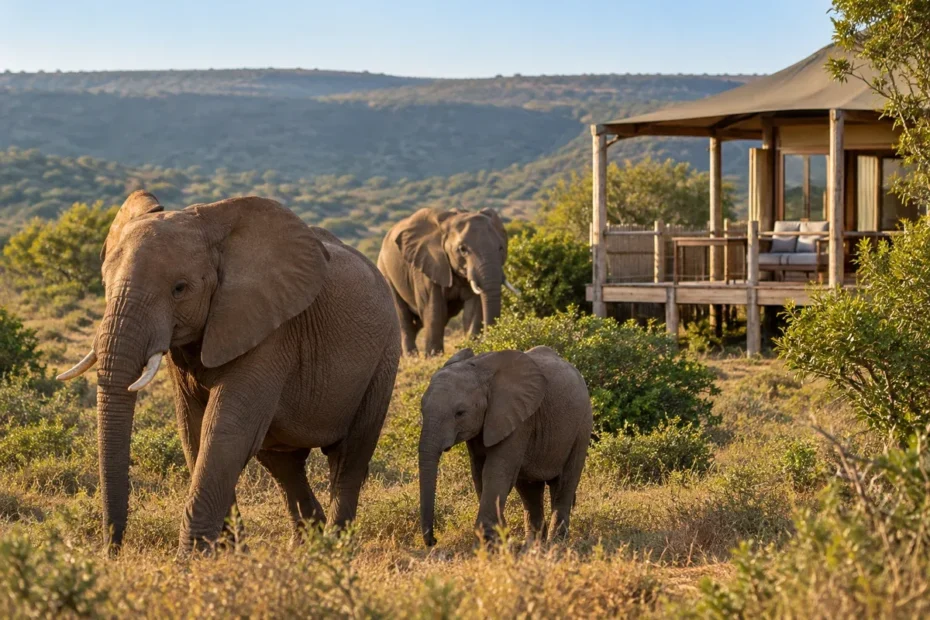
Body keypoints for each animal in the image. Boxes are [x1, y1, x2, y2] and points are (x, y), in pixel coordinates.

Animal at [56, 190, 400, 555]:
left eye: (180, 288)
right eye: (104, 283)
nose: (112, 551)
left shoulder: (271, 330)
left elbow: (224, 431)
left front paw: (192, 558)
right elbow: (193, 430)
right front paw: (227, 553)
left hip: (383, 358)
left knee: (349, 457)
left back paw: (335, 547)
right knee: (283, 464)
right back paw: (306, 542)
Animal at [377, 207, 515, 356]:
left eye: (501, 248)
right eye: (462, 249)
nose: (491, 344)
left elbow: (472, 310)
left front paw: (471, 349)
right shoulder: (428, 263)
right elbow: (434, 310)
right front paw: (434, 357)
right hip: (385, 273)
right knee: (403, 317)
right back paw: (411, 357)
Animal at [418, 346, 592, 547]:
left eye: (460, 413)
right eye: (421, 410)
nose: (433, 540)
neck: (479, 370)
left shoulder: (518, 420)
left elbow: (496, 471)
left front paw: (489, 541)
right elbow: (479, 473)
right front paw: (499, 539)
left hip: (582, 426)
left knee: (564, 484)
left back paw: (556, 544)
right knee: (529, 491)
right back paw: (533, 545)